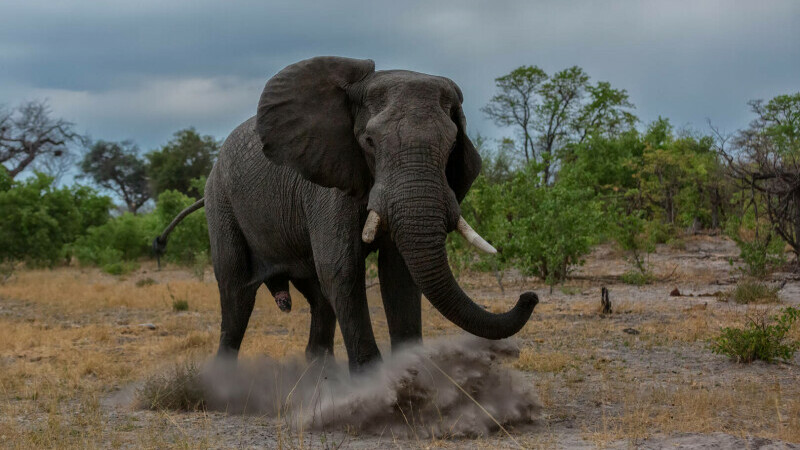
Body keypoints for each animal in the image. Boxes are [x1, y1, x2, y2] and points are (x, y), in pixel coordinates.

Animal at [155, 56, 538, 373]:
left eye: (452, 143)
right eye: (369, 142)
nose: (529, 296)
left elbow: (398, 274)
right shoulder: (328, 183)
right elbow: (341, 268)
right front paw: (374, 386)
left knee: (316, 294)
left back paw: (319, 370)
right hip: (220, 201)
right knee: (236, 289)